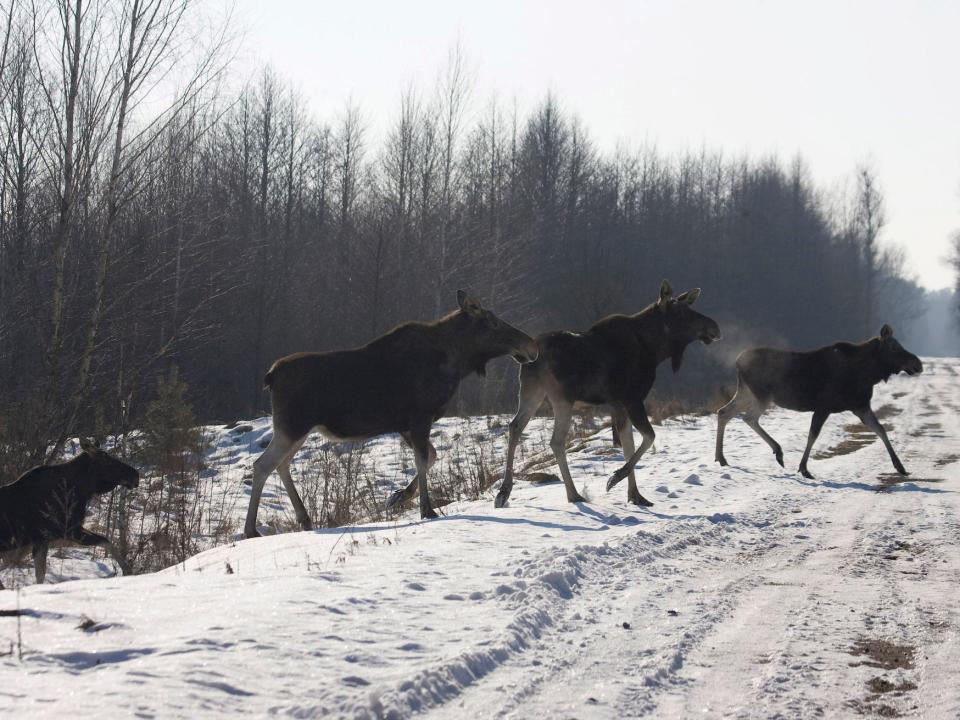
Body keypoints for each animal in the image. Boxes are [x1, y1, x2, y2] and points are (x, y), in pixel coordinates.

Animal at [0, 442, 139, 588]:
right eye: (107, 461)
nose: (135, 474)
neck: (82, 490)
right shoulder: (68, 531)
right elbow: (106, 541)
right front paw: (127, 570)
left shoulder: (43, 538)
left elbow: (40, 573)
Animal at [244, 288, 536, 536]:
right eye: (494, 323)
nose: (530, 346)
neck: (457, 362)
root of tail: (271, 376)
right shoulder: (419, 418)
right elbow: (423, 460)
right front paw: (427, 509)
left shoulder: (406, 425)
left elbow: (431, 456)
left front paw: (398, 497)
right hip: (292, 427)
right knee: (262, 465)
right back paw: (252, 529)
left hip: (298, 430)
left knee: (281, 464)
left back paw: (304, 519)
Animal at [498, 278, 716, 510]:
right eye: (681, 313)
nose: (715, 327)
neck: (654, 350)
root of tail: (532, 356)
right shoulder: (632, 399)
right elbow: (649, 437)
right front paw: (615, 478)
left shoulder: (617, 404)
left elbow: (628, 445)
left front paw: (635, 495)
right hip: (562, 398)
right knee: (556, 441)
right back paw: (573, 494)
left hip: (532, 391)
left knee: (515, 426)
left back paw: (504, 492)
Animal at [716, 326, 928, 478]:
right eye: (894, 348)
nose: (918, 364)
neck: (867, 374)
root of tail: (737, 361)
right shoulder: (824, 406)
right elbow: (813, 435)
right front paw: (803, 468)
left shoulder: (860, 406)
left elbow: (881, 430)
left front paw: (900, 466)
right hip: (762, 395)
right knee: (748, 418)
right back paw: (777, 451)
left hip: (746, 393)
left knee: (724, 412)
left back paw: (722, 457)